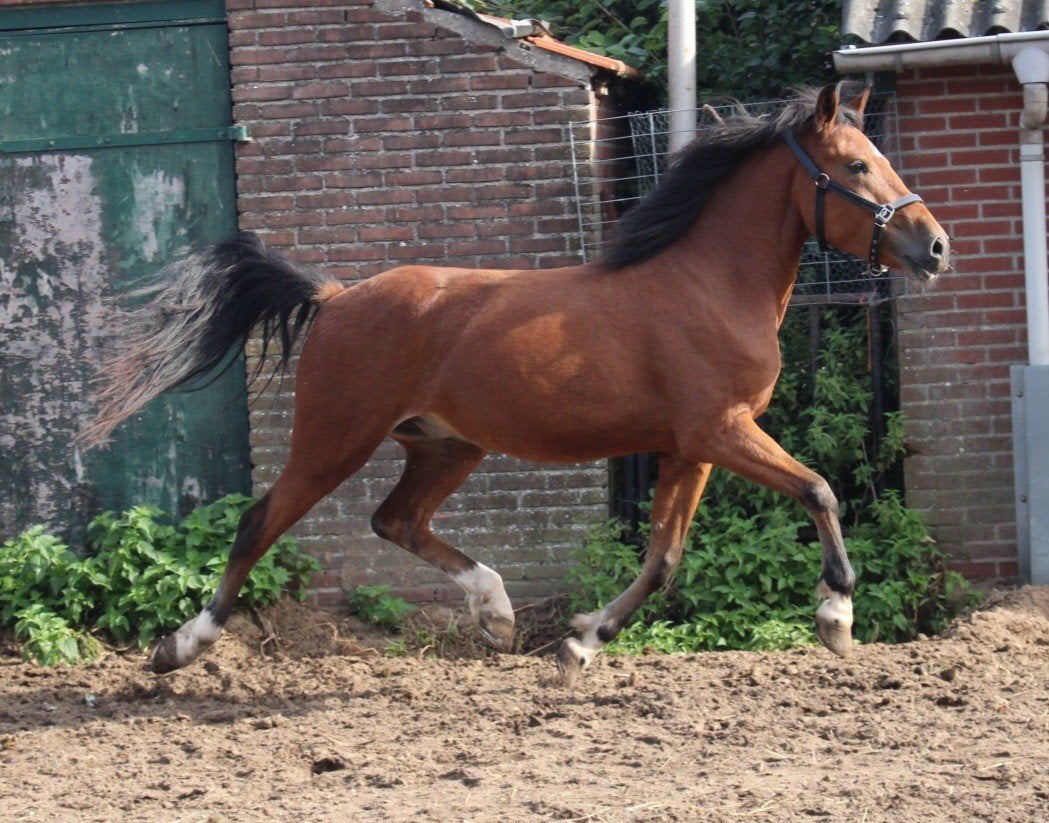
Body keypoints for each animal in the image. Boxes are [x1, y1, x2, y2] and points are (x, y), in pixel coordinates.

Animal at [80, 83, 950, 683]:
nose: (934, 245)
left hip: (445, 446)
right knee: (260, 521)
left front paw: (579, 643)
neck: (708, 284)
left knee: (395, 520)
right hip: (335, 437)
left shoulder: (690, 447)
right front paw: (836, 613)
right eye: (854, 165)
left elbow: (663, 558)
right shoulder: (720, 430)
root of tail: (334, 297)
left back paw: (496, 615)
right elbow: (818, 489)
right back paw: (180, 645)